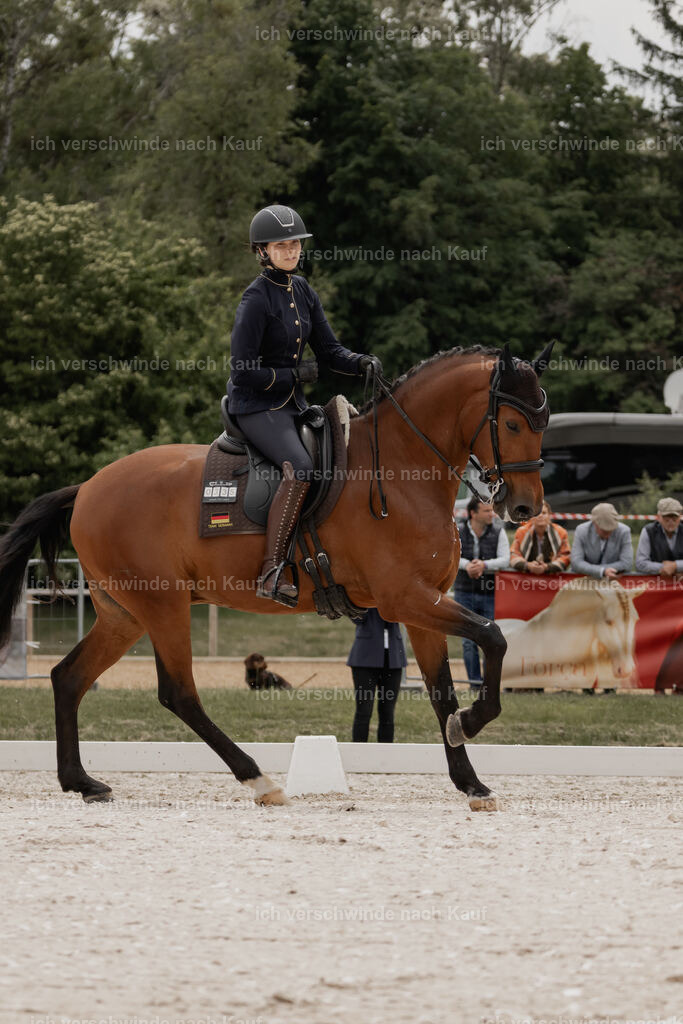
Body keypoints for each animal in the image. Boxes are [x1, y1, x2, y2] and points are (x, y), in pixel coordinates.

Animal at [0, 342, 552, 811]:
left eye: (542, 421)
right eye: (511, 423)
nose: (525, 507)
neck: (400, 469)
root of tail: (88, 488)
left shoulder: (425, 605)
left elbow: (443, 691)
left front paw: (471, 780)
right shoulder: (405, 598)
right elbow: (494, 636)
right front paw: (473, 722)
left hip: (124, 615)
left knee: (68, 677)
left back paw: (82, 781)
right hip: (163, 606)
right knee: (178, 693)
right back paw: (258, 780)